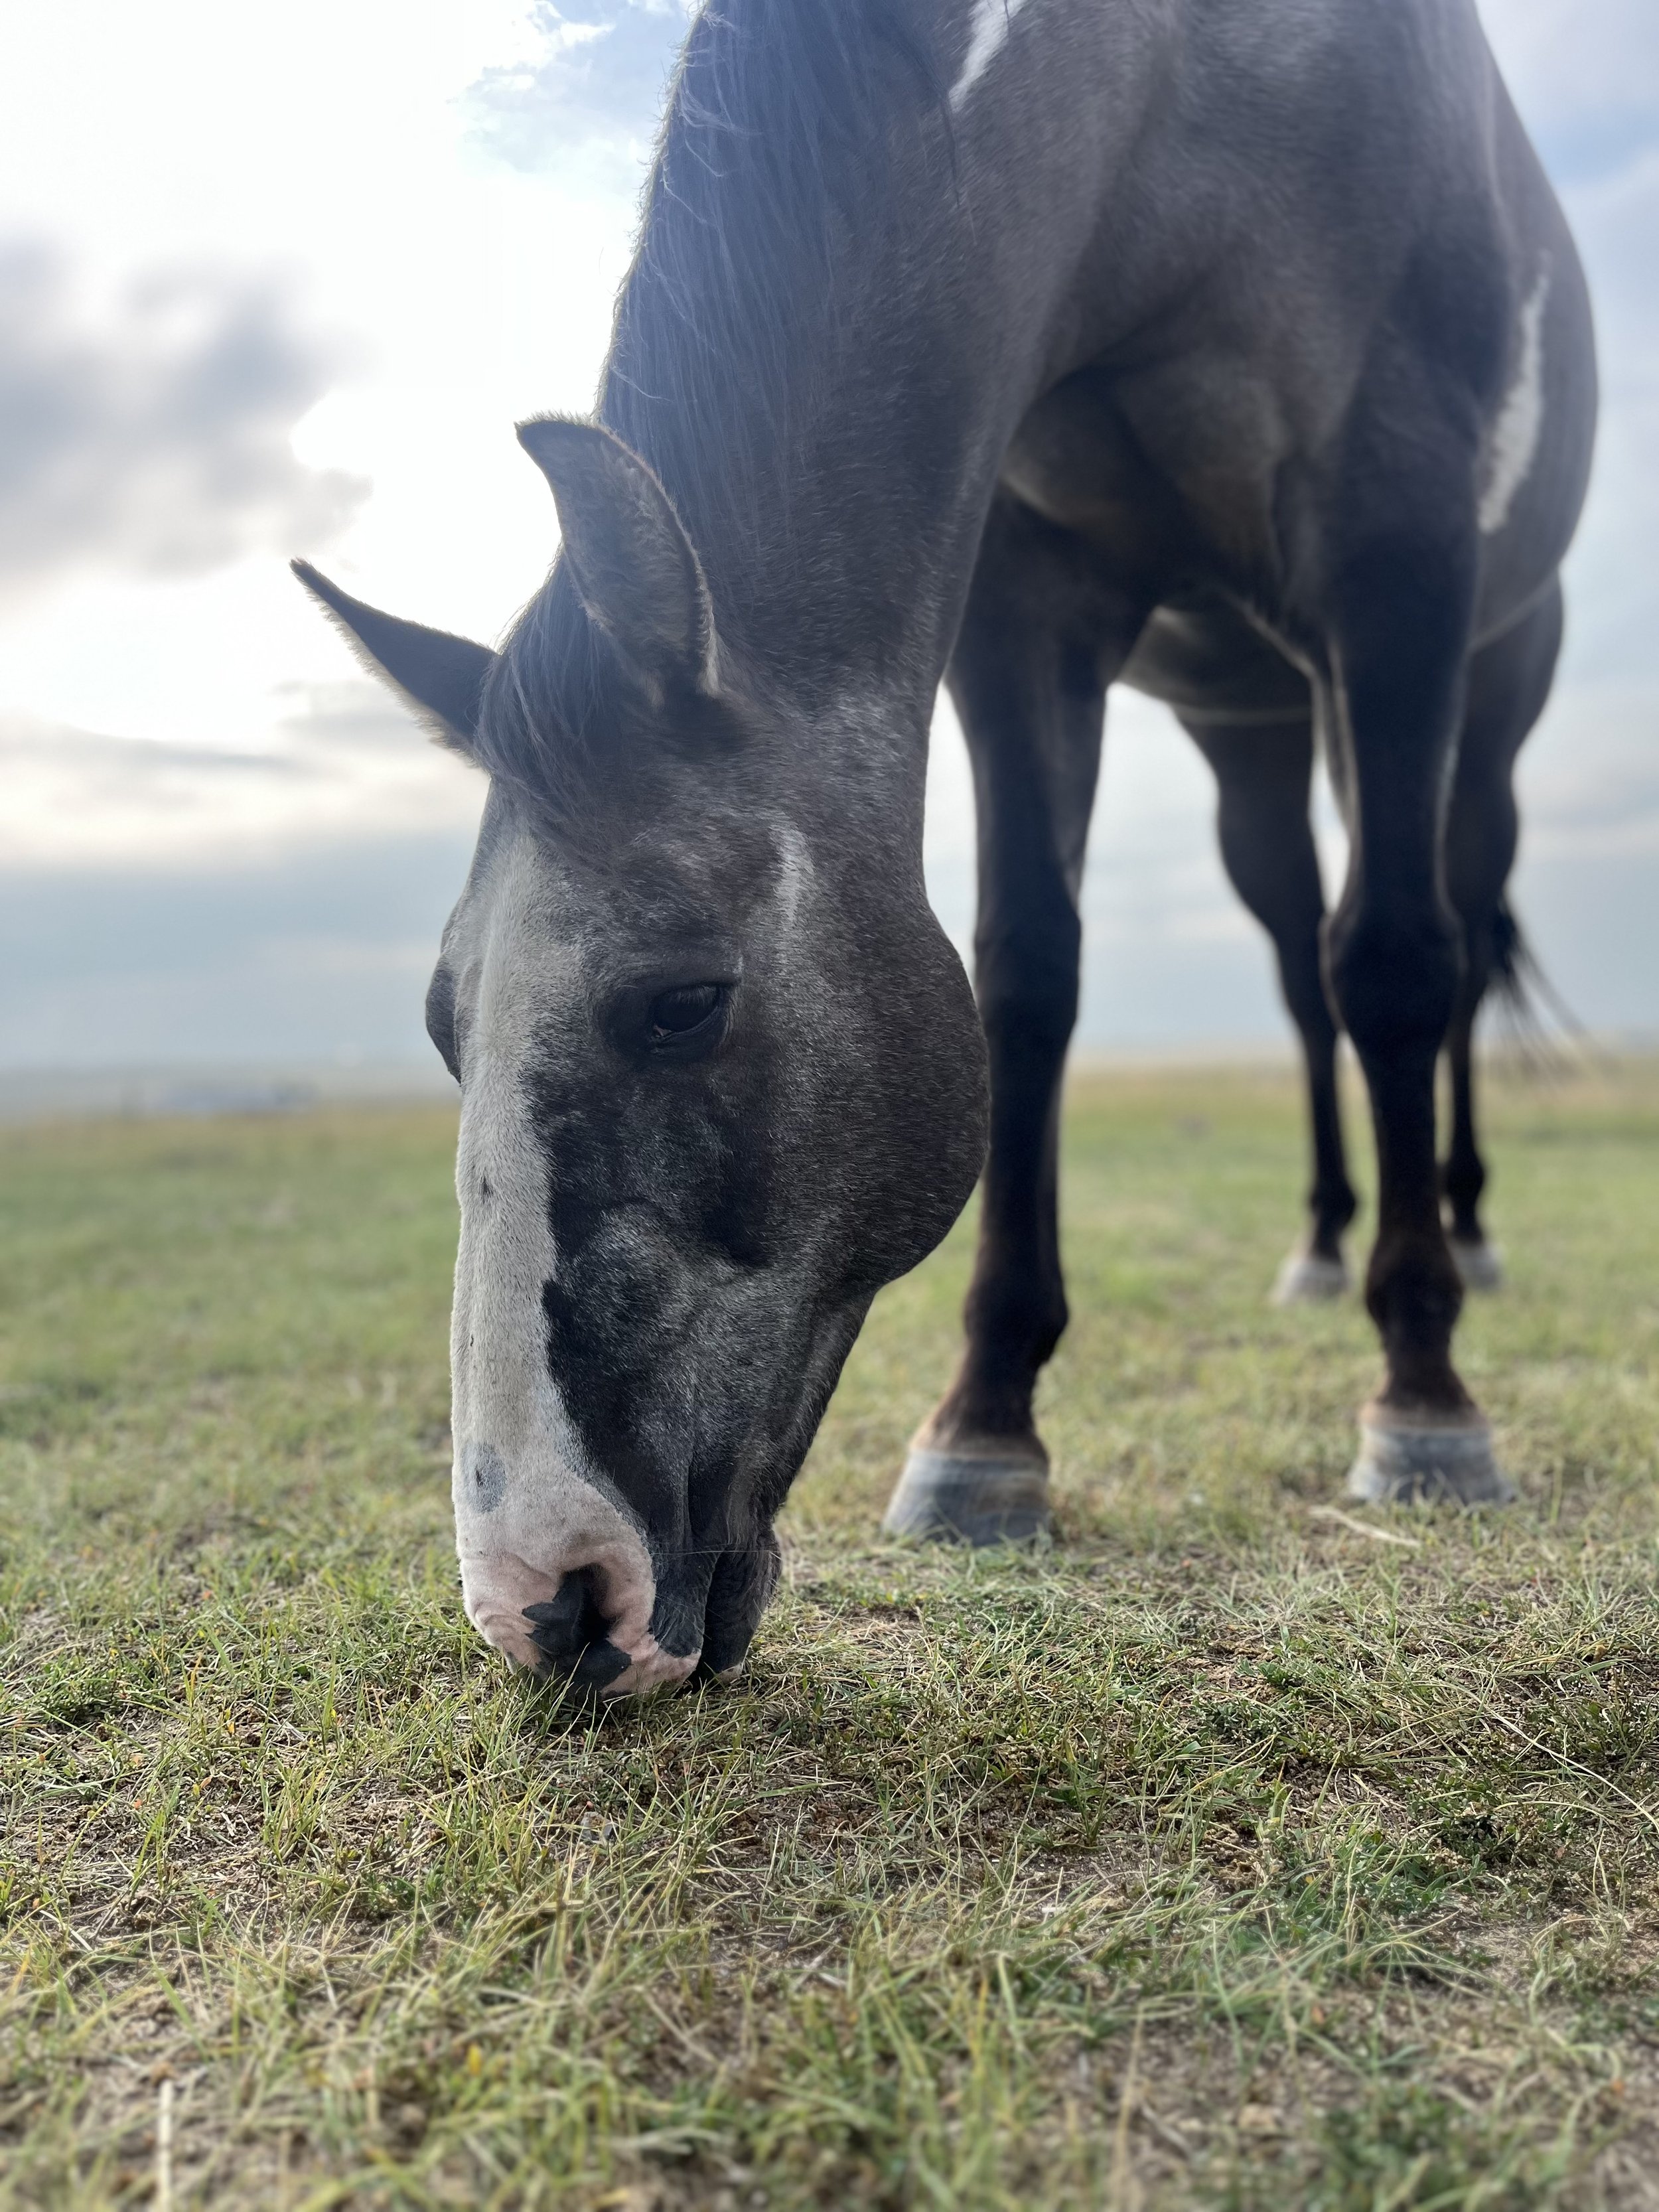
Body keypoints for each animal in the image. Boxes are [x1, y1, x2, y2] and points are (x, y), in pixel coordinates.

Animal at [295, 0, 1596, 1696]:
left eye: (682, 1003)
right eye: (443, 1026)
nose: (550, 1600)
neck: (1185, 98)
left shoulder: (1400, 557)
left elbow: (1394, 964)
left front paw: (1424, 1399)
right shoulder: (1027, 601)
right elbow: (1029, 974)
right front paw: (986, 1430)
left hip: (1475, 698)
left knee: (1428, 947)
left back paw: (1463, 1241)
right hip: (1249, 733)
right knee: (1299, 974)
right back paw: (1321, 1245)